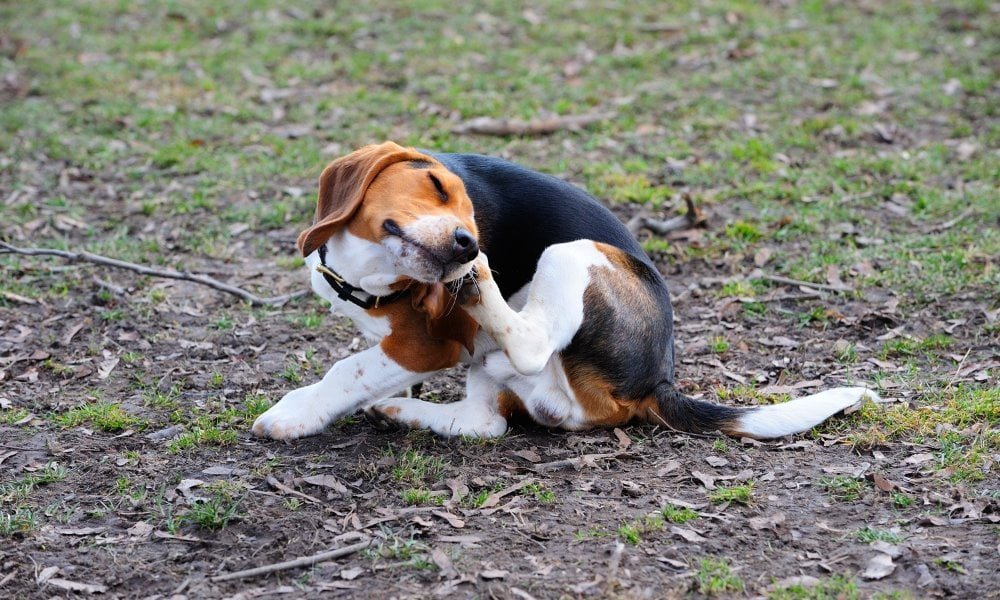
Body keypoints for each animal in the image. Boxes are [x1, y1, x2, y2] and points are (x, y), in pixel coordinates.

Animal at [254, 141, 880, 440]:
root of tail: (657, 380)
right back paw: (402, 412)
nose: (467, 244)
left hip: (572, 253)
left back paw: (481, 289)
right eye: (433, 183)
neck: (365, 270)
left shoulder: (426, 344)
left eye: (474, 218)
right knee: (486, 423)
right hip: (493, 369)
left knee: (530, 347)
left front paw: (293, 415)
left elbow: (347, 371)